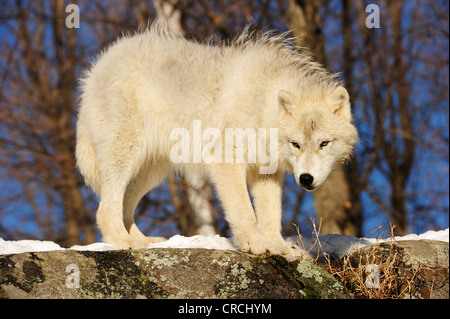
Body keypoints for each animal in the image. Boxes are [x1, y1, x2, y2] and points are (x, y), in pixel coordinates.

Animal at [76, 20, 358, 260]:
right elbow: (245, 210)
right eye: (296, 144)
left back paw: (145, 241)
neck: (263, 104)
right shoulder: (226, 160)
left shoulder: (266, 172)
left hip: (152, 171)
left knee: (125, 205)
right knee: (106, 208)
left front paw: (278, 247)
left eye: (324, 143)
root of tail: (96, 68)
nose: (306, 179)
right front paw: (255, 244)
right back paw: (125, 242)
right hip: (126, 155)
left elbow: (270, 215)